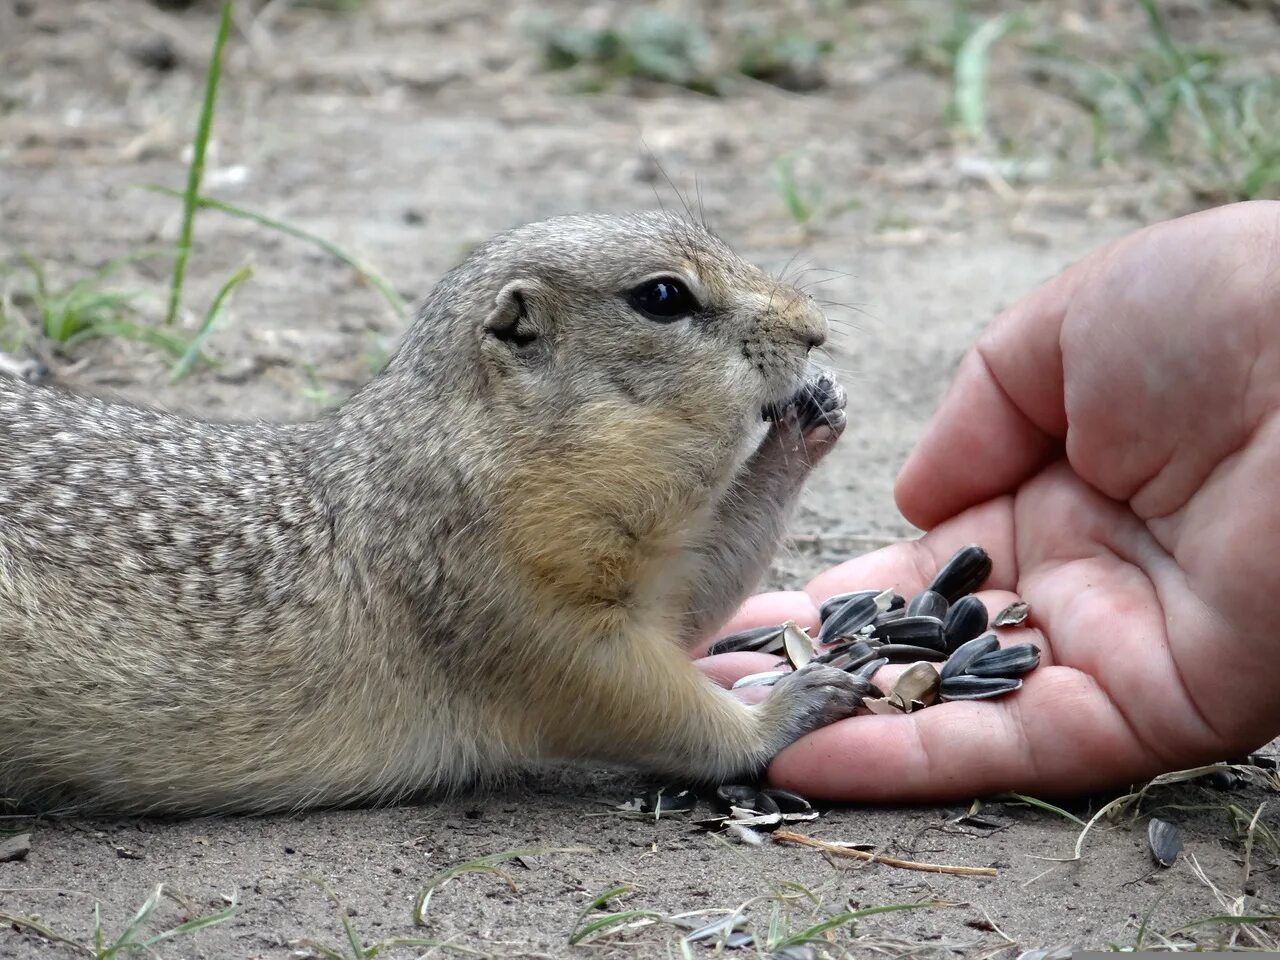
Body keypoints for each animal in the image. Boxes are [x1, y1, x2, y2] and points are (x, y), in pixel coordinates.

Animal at [0, 209, 865, 814]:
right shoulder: (509, 605)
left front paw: (811, 417)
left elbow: (694, 598)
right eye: (662, 297)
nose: (815, 331)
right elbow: (639, 699)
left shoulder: (642, 578)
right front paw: (785, 709)